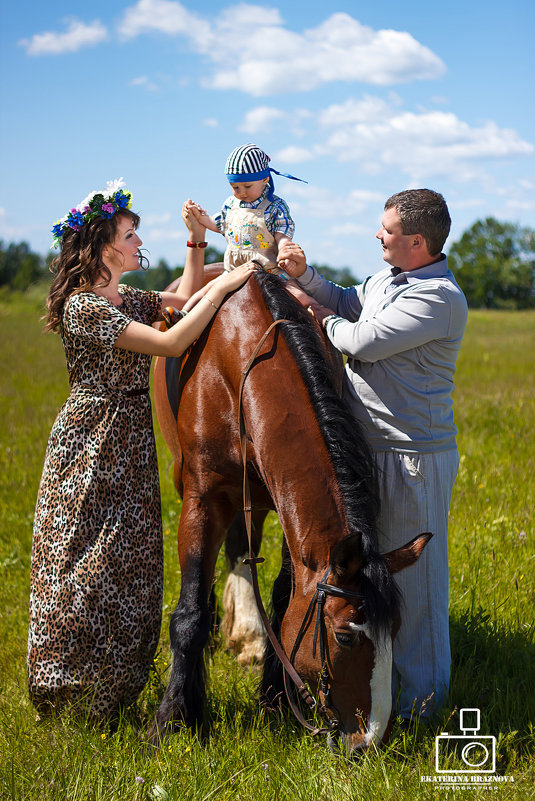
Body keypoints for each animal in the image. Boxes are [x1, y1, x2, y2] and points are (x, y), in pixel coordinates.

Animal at [153, 268, 430, 752]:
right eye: (344, 636)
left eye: (395, 628)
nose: (371, 739)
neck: (241, 359)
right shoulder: (203, 498)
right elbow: (189, 612)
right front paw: (174, 718)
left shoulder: (290, 521)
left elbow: (285, 600)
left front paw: (275, 698)